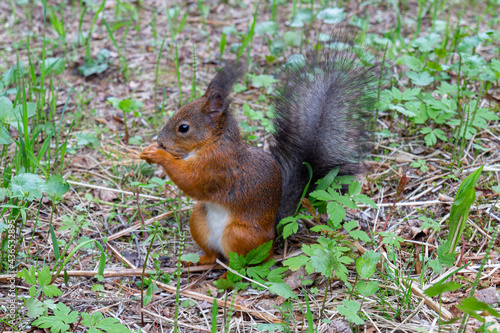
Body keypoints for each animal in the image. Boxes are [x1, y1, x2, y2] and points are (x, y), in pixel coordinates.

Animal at [139, 31, 380, 264]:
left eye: (184, 128)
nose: (160, 141)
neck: (213, 142)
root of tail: (273, 235)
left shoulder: (216, 167)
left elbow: (191, 181)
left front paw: (157, 154)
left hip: (238, 234)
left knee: (245, 264)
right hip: (199, 219)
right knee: (213, 256)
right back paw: (194, 261)